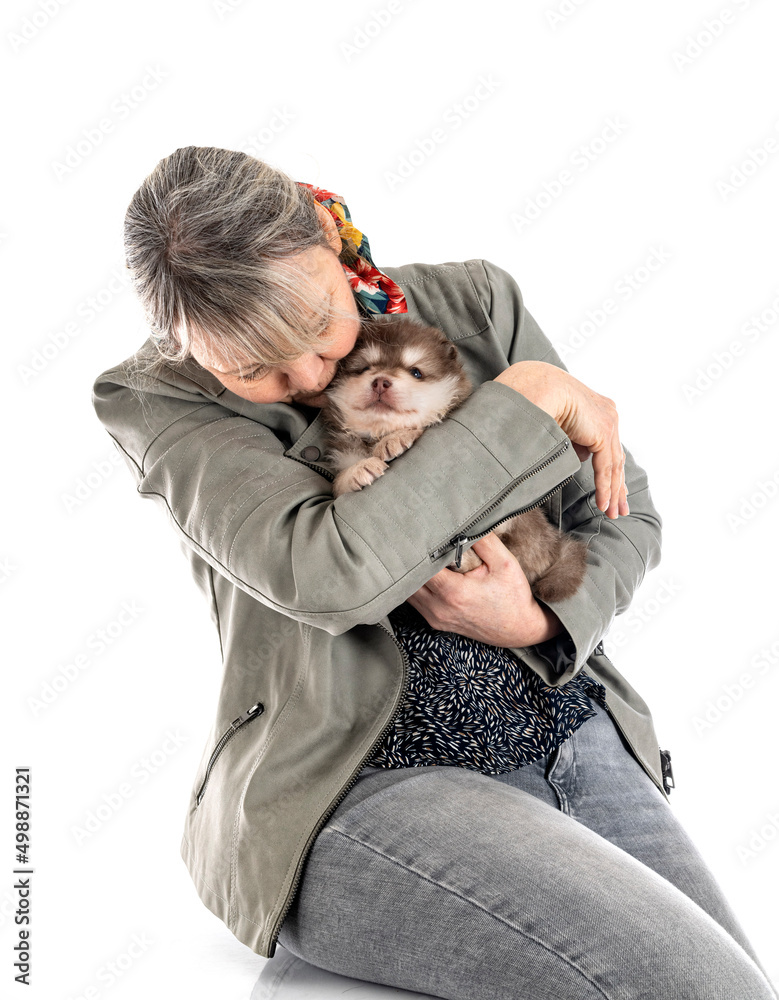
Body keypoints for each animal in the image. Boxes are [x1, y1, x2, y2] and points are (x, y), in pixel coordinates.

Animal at [322, 320, 584, 600]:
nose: (381, 381)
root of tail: (554, 546)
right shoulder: (343, 456)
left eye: (416, 372)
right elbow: (339, 481)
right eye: (364, 368)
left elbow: (421, 424)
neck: (377, 432)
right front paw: (361, 468)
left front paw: (397, 438)